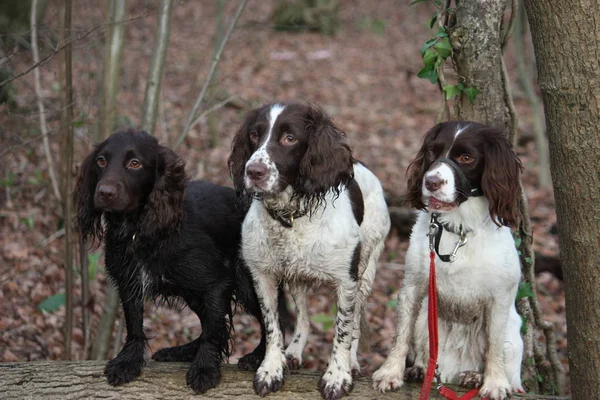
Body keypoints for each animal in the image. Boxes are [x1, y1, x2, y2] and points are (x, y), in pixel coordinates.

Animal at [74, 130, 264, 392]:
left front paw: (205, 369)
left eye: (135, 163)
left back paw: (258, 357)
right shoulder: (129, 283)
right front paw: (128, 362)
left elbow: (212, 331)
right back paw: (182, 351)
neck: (140, 230)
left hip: (246, 283)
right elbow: (135, 324)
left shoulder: (218, 282)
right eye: (101, 161)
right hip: (192, 292)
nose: (104, 193)